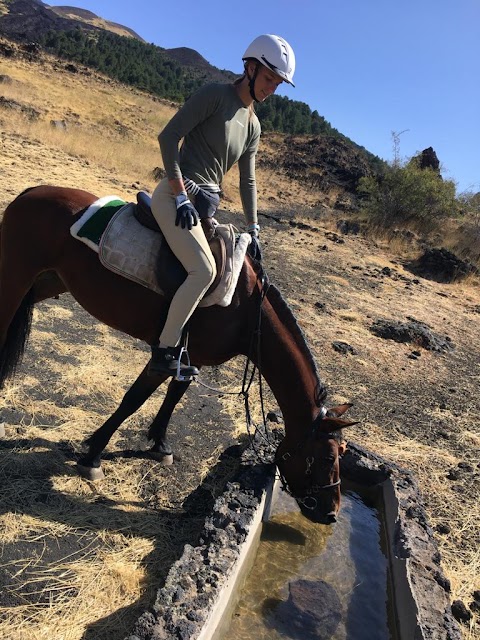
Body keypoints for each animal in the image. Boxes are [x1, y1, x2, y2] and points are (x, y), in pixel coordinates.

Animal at [0, 182, 356, 524]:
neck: (245, 309)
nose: (330, 513)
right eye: (327, 456)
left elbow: (174, 395)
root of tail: (33, 192)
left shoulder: (189, 358)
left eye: (343, 453)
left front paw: (159, 444)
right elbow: (134, 399)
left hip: (47, 282)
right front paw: (93, 456)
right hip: (16, 277)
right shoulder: (164, 356)